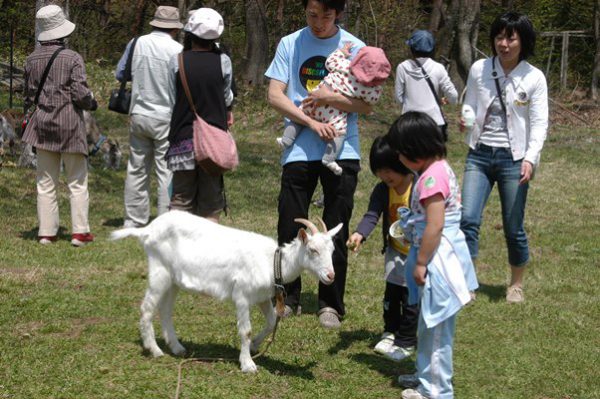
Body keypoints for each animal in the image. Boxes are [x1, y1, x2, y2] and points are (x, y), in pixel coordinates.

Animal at [109, 211, 342, 374]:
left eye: (332, 250)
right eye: (313, 250)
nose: (331, 276)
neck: (272, 262)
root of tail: (147, 230)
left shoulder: (262, 298)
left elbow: (271, 321)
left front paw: (255, 346)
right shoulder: (242, 295)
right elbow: (245, 330)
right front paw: (248, 364)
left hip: (173, 279)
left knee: (165, 310)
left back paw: (176, 348)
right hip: (159, 270)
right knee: (147, 308)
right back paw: (155, 350)